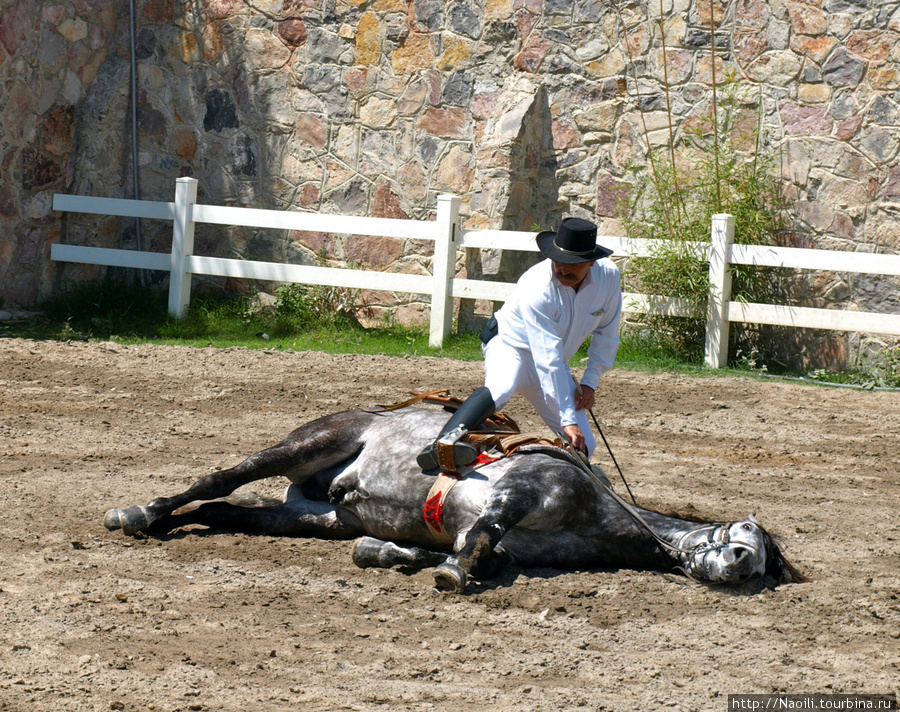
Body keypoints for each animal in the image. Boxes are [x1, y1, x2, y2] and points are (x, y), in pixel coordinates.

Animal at [102, 398, 804, 592]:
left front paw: (388, 554)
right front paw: (446, 572)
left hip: (311, 516)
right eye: (744, 537)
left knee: (224, 510)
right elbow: (478, 541)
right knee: (216, 481)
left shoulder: (510, 551)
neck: (599, 514)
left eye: (760, 565)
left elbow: (479, 554)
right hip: (309, 444)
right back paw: (138, 513)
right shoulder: (512, 498)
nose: (736, 563)